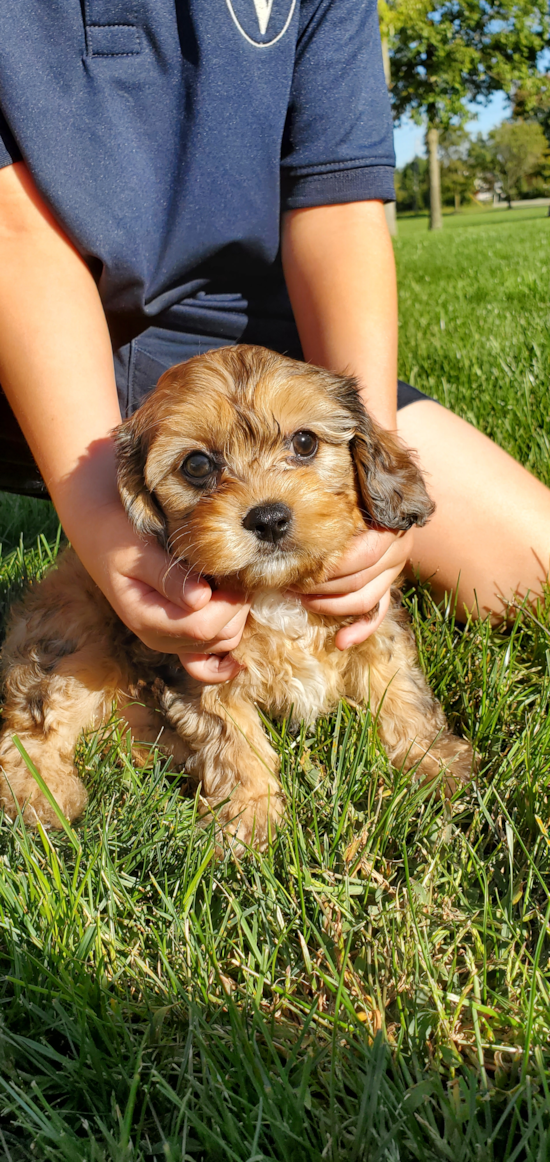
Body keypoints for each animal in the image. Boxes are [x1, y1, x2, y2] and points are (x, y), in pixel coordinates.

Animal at [0, 343, 472, 845]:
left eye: (304, 443)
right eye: (197, 465)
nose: (268, 519)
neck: (276, 591)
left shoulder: (373, 627)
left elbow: (400, 691)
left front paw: (433, 763)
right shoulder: (203, 674)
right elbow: (234, 743)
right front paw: (251, 819)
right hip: (74, 645)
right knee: (33, 727)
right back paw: (42, 797)